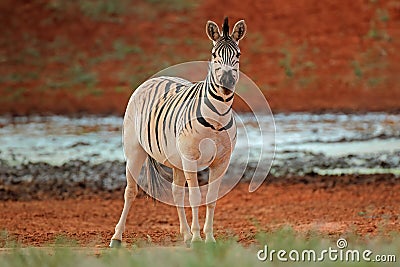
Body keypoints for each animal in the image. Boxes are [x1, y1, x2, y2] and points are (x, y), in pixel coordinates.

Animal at [110, 17, 247, 249]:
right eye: (214, 55)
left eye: (237, 55)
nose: (227, 84)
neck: (217, 116)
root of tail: (154, 78)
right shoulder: (191, 157)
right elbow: (195, 197)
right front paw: (198, 238)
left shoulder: (222, 161)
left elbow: (211, 198)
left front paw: (208, 238)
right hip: (135, 150)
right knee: (130, 191)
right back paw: (117, 237)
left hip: (176, 159)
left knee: (176, 192)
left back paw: (185, 235)